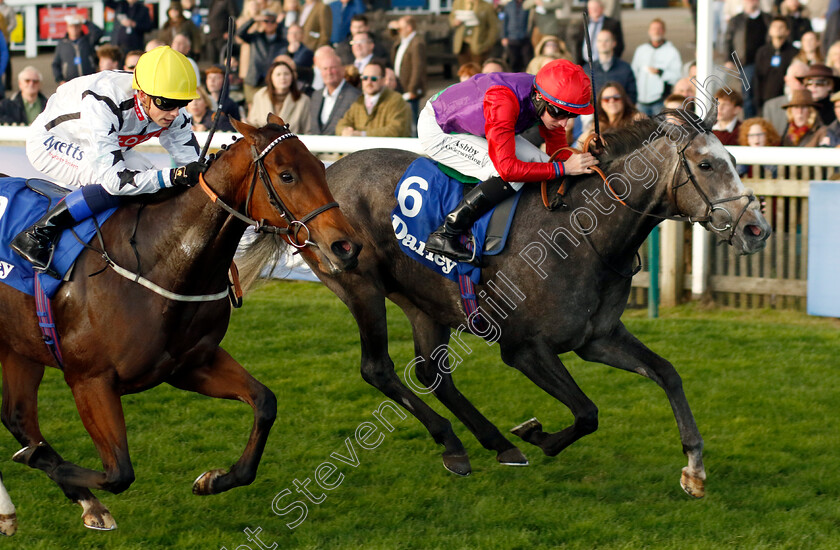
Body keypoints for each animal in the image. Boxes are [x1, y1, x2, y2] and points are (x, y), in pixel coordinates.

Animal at [0, 113, 358, 536]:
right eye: (286, 175)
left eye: (320, 166)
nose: (347, 246)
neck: (159, 261)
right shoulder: (90, 380)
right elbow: (118, 472)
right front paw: (37, 461)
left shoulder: (191, 364)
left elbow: (264, 403)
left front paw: (214, 480)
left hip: (19, 347)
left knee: (18, 417)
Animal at [241, 106, 768, 500]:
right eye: (706, 165)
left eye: (732, 158)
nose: (756, 229)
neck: (584, 234)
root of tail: (324, 172)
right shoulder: (524, 349)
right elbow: (587, 412)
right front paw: (538, 436)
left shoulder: (597, 338)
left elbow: (667, 374)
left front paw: (694, 468)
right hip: (358, 285)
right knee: (378, 368)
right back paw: (463, 439)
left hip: (423, 301)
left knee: (433, 373)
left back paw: (480, 444)